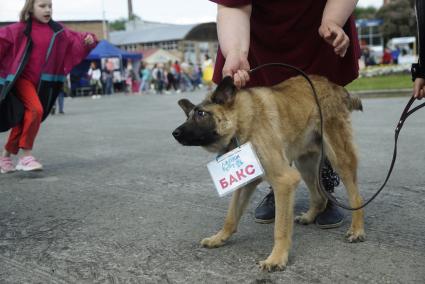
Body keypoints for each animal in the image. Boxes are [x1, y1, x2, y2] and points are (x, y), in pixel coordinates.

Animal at [171, 75, 362, 270]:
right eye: (189, 116)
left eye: (201, 114)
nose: (174, 133)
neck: (240, 122)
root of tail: (333, 85)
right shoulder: (245, 183)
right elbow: (231, 216)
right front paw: (220, 238)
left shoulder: (284, 181)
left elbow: (280, 228)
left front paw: (277, 258)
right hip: (305, 165)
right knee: (319, 197)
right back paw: (309, 216)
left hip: (339, 159)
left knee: (356, 197)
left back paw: (357, 230)